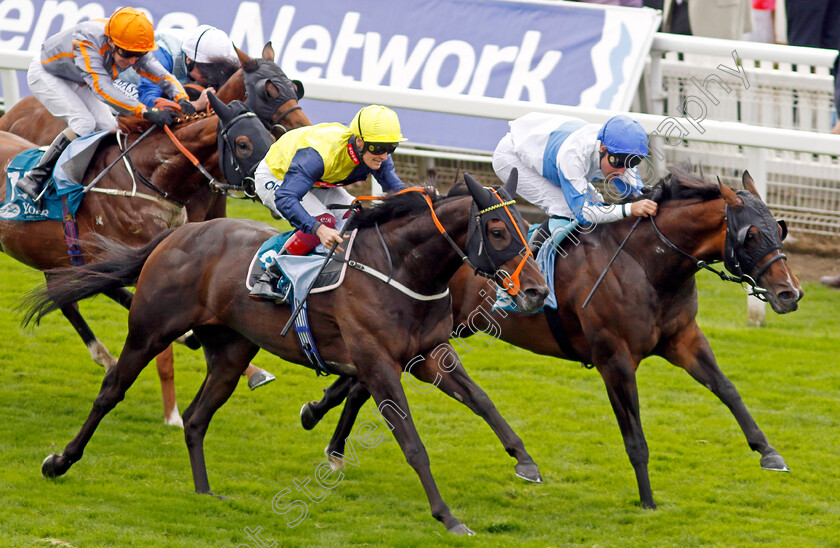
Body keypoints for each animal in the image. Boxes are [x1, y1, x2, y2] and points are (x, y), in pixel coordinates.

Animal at [0, 42, 308, 424]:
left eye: (293, 88)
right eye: (269, 91)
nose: (304, 129)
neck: (154, 178)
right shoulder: (138, 262)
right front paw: (173, 412)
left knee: (62, 296)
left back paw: (105, 354)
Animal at [26, 174, 548, 536]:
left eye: (527, 226)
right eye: (497, 229)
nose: (538, 291)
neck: (401, 269)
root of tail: (176, 236)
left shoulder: (429, 355)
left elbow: (482, 401)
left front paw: (526, 462)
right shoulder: (379, 364)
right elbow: (412, 443)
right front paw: (447, 516)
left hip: (232, 350)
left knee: (196, 417)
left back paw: (204, 491)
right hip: (150, 330)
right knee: (111, 391)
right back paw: (60, 461)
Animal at [296, 166, 800, 510]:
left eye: (779, 228)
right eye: (751, 235)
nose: (789, 293)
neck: (647, 263)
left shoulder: (683, 340)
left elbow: (727, 388)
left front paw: (769, 452)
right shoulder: (614, 357)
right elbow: (635, 436)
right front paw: (647, 500)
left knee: (361, 382)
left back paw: (325, 428)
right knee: (365, 380)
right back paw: (325, 427)